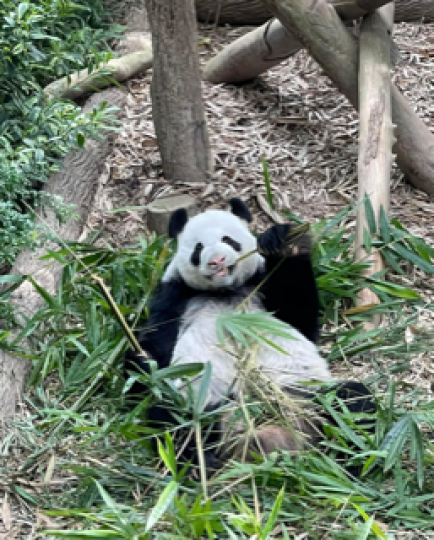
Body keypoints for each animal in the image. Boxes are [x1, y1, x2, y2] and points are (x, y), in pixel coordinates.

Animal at [124, 198, 374, 472]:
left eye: (228, 240)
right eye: (198, 248)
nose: (218, 260)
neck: (226, 292)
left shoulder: (260, 285)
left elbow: (299, 319)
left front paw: (286, 244)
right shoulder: (175, 294)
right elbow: (158, 349)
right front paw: (141, 358)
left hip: (303, 393)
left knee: (353, 403)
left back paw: (349, 460)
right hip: (201, 400)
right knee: (172, 421)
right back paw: (200, 462)